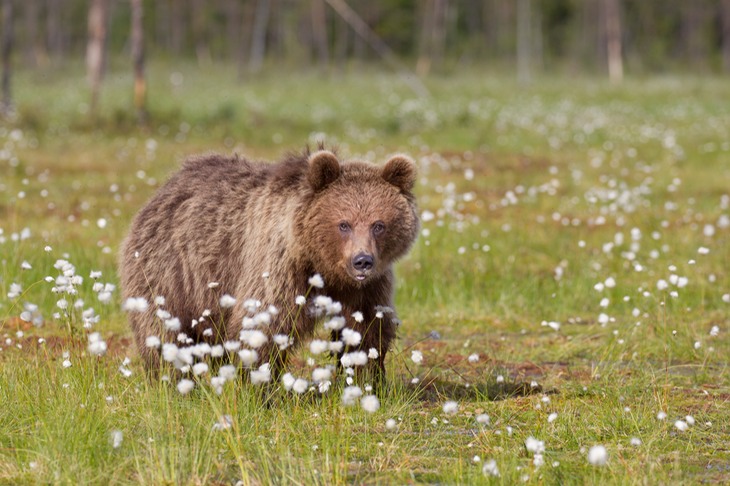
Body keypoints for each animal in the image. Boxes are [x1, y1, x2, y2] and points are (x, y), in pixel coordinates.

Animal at [117, 150, 418, 386]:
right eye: (344, 224)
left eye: (378, 224)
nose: (362, 260)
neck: (323, 267)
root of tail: (163, 190)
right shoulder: (279, 267)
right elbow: (265, 325)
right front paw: (260, 388)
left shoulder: (367, 287)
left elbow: (367, 329)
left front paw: (368, 380)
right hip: (169, 271)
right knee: (163, 332)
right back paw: (172, 381)